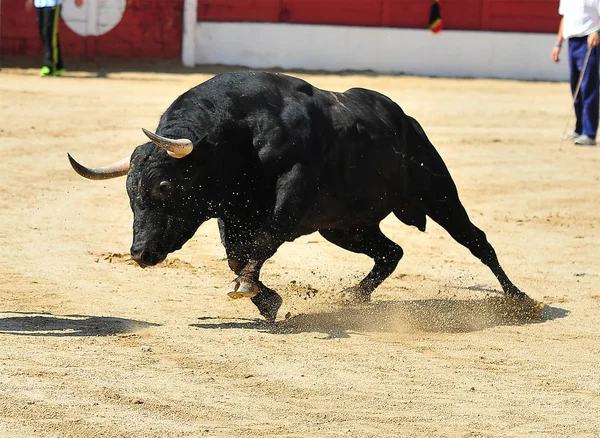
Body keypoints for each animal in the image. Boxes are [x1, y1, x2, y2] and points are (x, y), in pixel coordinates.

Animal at [68, 70, 540, 320]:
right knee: (391, 251)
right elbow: (237, 255)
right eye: (129, 194)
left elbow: (262, 242)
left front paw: (252, 291)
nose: (140, 253)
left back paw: (522, 301)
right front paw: (267, 300)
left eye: (165, 187)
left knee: (477, 241)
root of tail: (405, 120)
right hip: (344, 227)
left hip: (439, 193)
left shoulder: (289, 200)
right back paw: (355, 295)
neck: (236, 137)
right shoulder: (230, 213)